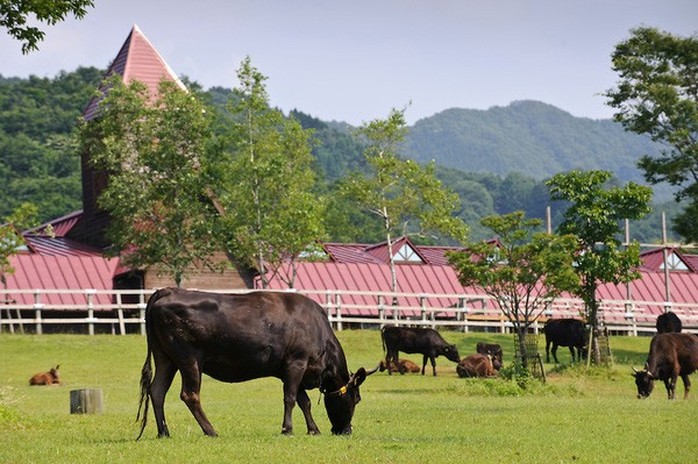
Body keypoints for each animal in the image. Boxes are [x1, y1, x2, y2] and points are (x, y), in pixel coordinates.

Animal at [137, 286, 376, 438]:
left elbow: (304, 401)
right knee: (190, 394)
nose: (346, 431)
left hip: (166, 358)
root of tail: (168, 290)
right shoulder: (296, 362)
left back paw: (164, 432)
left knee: (157, 391)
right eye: (356, 399)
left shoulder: (289, 368)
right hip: (189, 359)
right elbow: (290, 398)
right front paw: (287, 429)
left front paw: (313, 429)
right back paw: (211, 431)